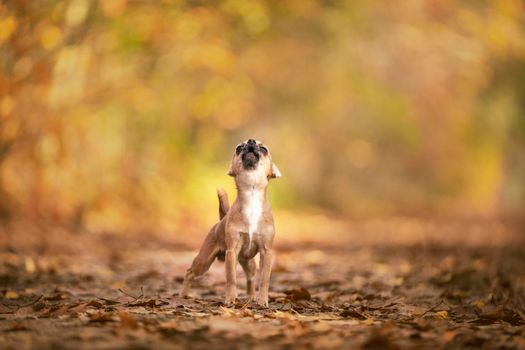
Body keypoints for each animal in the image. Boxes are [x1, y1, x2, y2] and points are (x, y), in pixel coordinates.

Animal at [179, 139, 280, 306]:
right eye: (239, 148)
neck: (251, 197)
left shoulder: (267, 253)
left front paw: (262, 300)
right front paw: (230, 299)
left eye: (264, 149)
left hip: (249, 263)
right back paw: (183, 294)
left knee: (250, 278)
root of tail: (221, 220)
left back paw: (251, 297)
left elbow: (264, 280)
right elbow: (231, 278)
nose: (251, 141)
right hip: (204, 261)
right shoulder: (231, 252)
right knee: (189, 272)